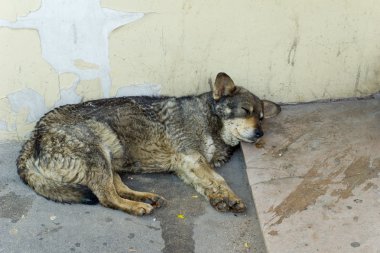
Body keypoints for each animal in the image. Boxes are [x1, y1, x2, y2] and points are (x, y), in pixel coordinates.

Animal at [17, 72, 280, 215]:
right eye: (245, 111)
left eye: (261, 117)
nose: (260, 133)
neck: (210, 118)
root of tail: (33, 136)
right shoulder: (192, 158)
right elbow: (219, 180)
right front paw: (230, 197)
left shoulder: (187, 166)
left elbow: (207, 184)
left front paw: (218, 198)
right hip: (97, 154)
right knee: (106, 197)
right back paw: (136, 207)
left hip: (107, 159)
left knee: (117, 188)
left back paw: (145, 197)